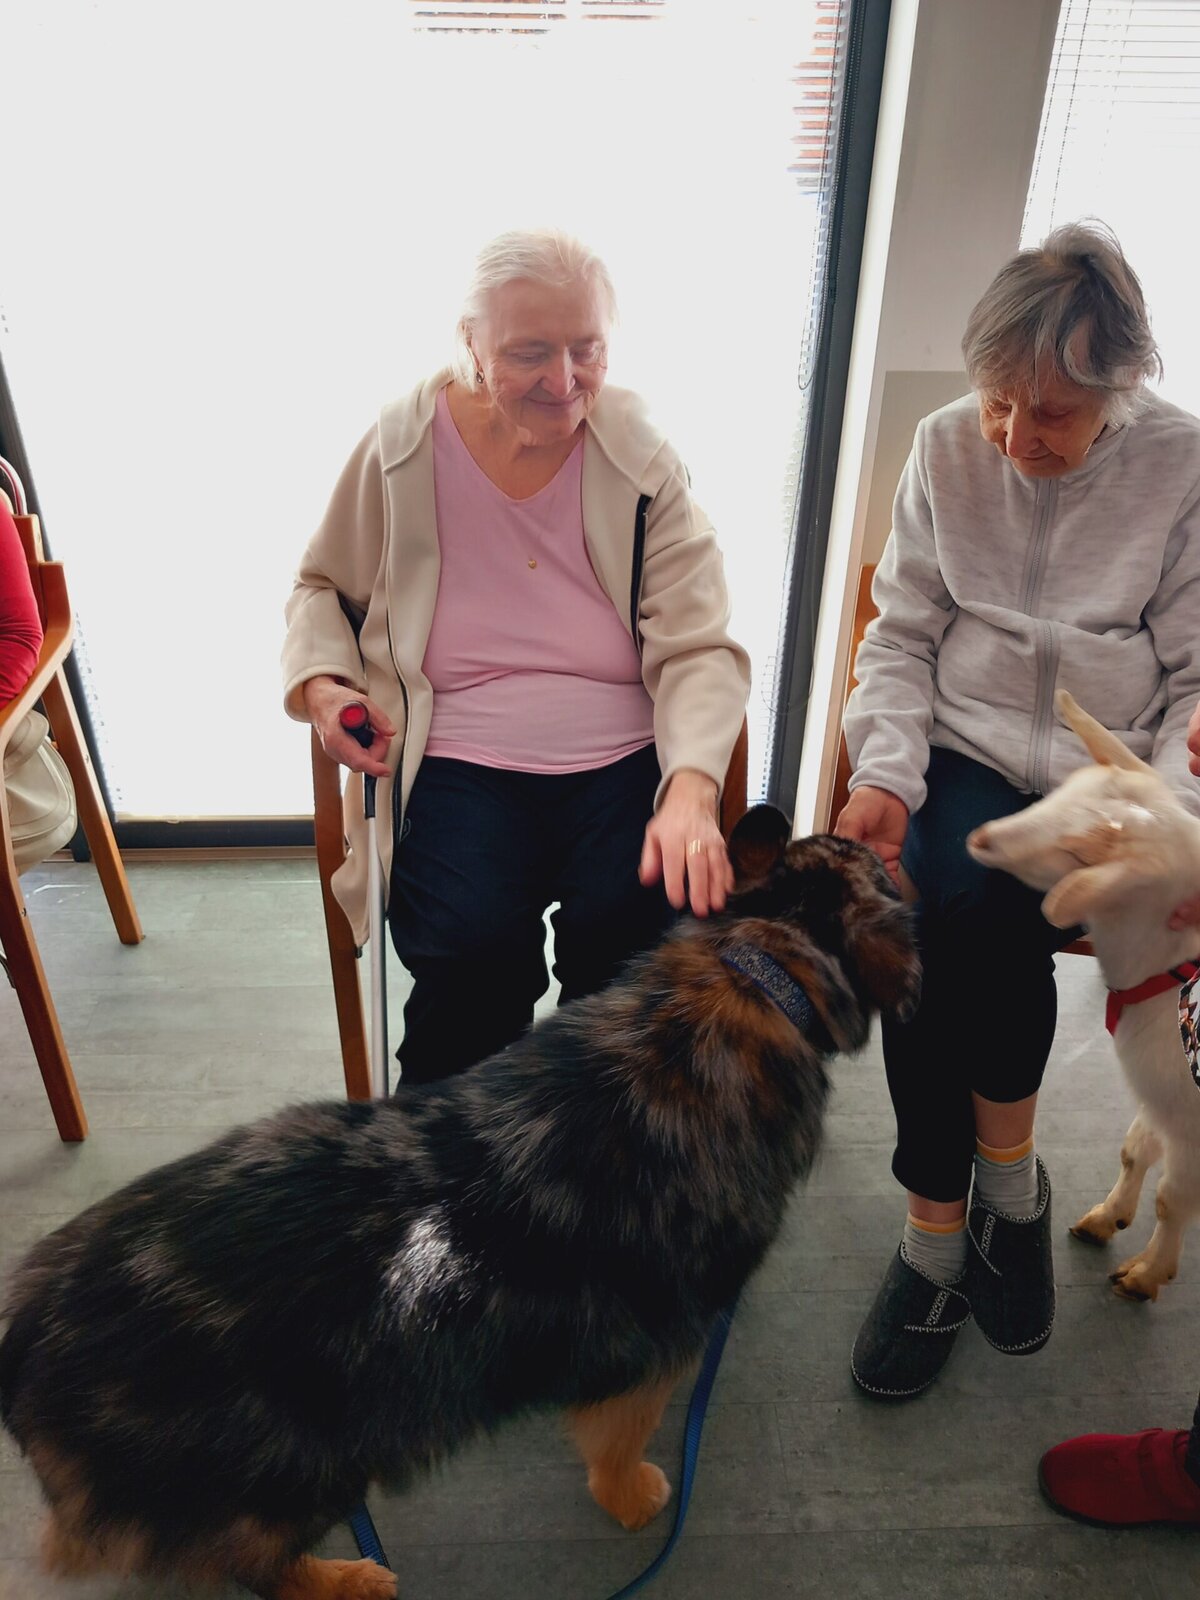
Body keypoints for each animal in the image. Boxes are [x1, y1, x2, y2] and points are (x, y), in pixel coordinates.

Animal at [0, 806, 918, 1600]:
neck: (762, 967)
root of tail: (26, 1337)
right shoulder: (656, 1346)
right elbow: (619, 1441)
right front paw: (633, 1497)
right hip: (293, 1473)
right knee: (252, 1564)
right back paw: (346, 1580)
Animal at [967, 691, 1200, 1303]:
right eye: (1065, 790)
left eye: (1078, 856)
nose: (980, 838)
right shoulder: (1161, 1093)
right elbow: (1135, 1148)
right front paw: (1106, 1219)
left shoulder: (1192, 1119)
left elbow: (1173, 1199)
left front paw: (1146, 1275)